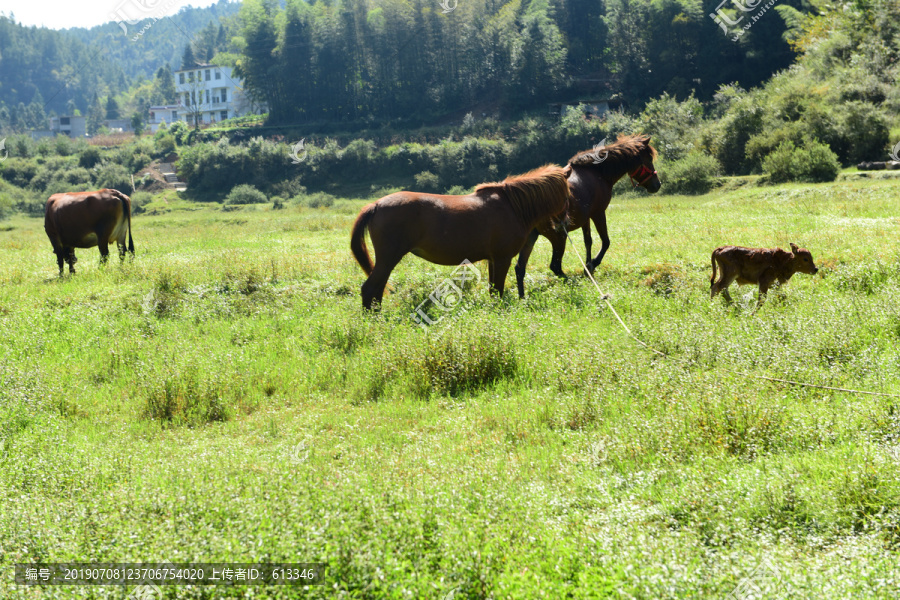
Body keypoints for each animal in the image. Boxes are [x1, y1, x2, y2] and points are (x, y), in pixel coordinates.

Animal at [350, 165, 569, 309]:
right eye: (568, 194)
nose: (564, 222)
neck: (513, 206)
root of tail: (376, 205)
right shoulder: (502, 258)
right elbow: (498, 290)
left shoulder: (493, 260)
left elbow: (493, 290)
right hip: (389, 258)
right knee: (370, 289)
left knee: (377, 289)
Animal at [513, 135, 661, 298]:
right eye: (649, 159)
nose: (657, 185)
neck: (597, 172)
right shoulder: (598, 213)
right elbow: (605, 241)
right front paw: (592, 264)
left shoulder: (586, 219)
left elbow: (588, 241)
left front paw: (588, 266)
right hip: (559, 237)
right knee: (555, 266)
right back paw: (571, 282)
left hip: (531, 237)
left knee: (520, 268)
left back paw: (522, 297)